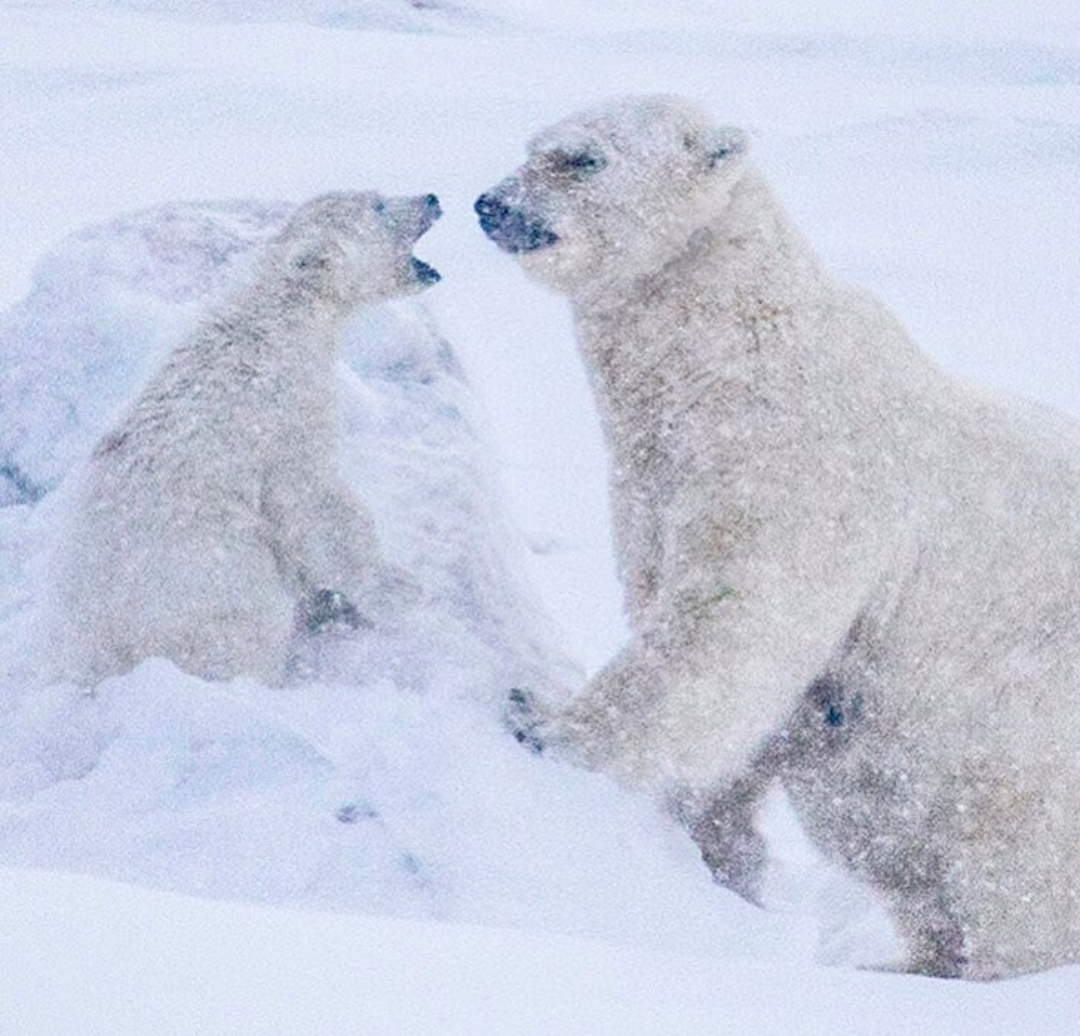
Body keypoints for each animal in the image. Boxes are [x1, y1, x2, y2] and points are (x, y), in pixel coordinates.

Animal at [52, 190, 440, 687]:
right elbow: (316, 503)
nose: (431, 197)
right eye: (376, 205)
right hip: (213, 584)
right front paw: (397, 587)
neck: (275, 322)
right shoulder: (284, 416)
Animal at [479, 97, 1080, 980]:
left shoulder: (797, 462)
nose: (492, 205)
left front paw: (545, 724)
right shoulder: (654, 485)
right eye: (533, 145)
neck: (724, 355)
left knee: (1013, 843)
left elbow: (731, 619)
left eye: (581, 157)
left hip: (1029, 707)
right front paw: (716, 850)